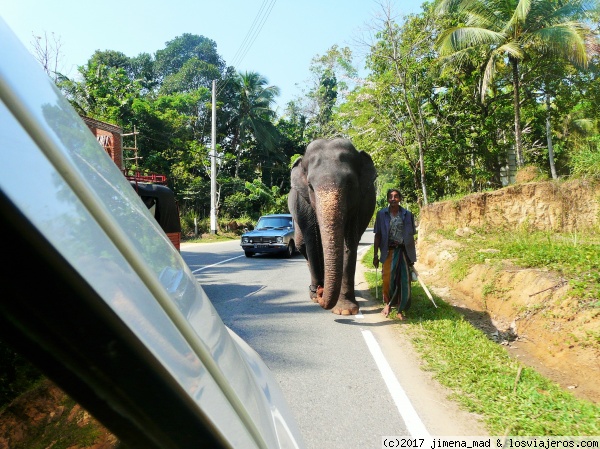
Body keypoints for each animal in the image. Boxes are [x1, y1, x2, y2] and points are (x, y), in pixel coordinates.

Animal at [286, 138, 376, 314]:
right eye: (310, 186)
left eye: (350, 184)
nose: (321, 292)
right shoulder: (303, 204)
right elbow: (312, 242)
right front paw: (317, 296)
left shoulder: (360, 205)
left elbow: (350, 243)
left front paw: (345, 310)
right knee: (302, 245)